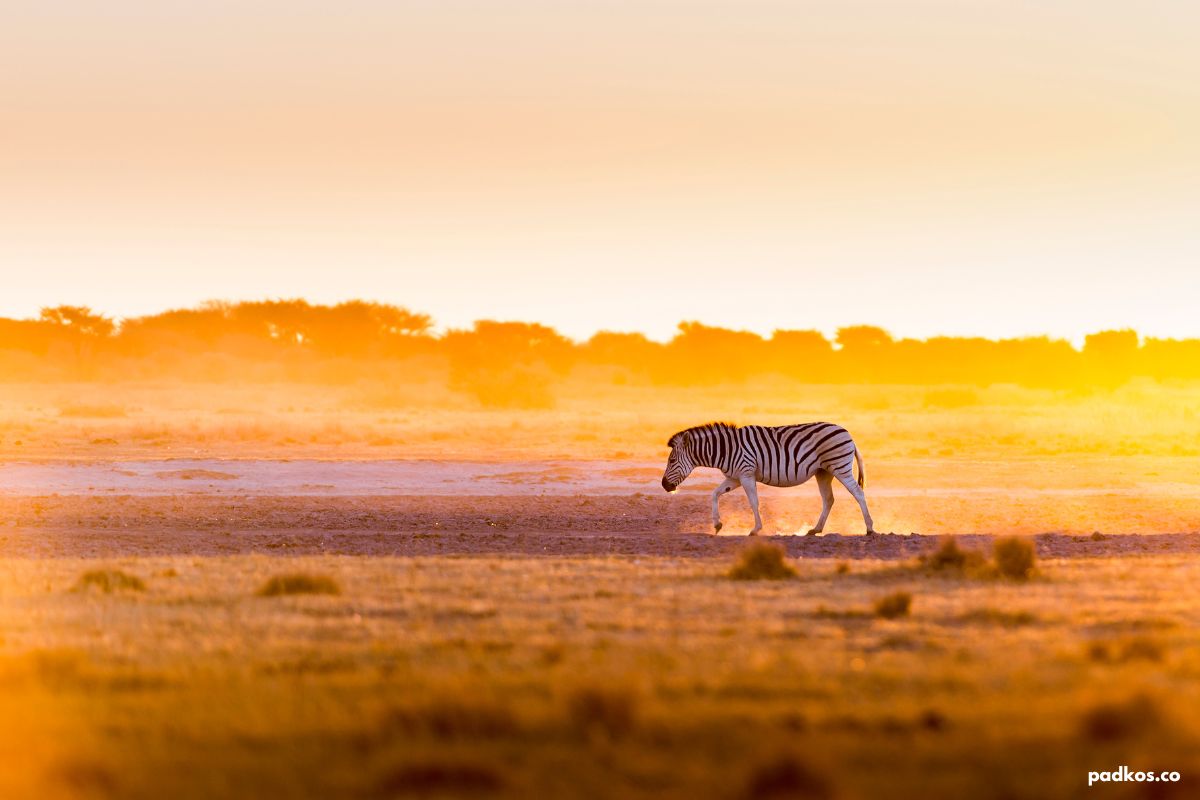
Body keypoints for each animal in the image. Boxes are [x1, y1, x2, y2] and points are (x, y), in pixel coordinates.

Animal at [662, 422, 878, 534]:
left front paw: (756, 529)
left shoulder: (746, 473)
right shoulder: (735, 478)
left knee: (858, 493)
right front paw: (717, 524)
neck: (725, 449)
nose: (664, 486)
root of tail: (847, 432)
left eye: (671, 460)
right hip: (823, 472)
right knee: (829, 499)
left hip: (839, 466)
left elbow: (753, 502)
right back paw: (816, 529)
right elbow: (714, 494)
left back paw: (869, 528)